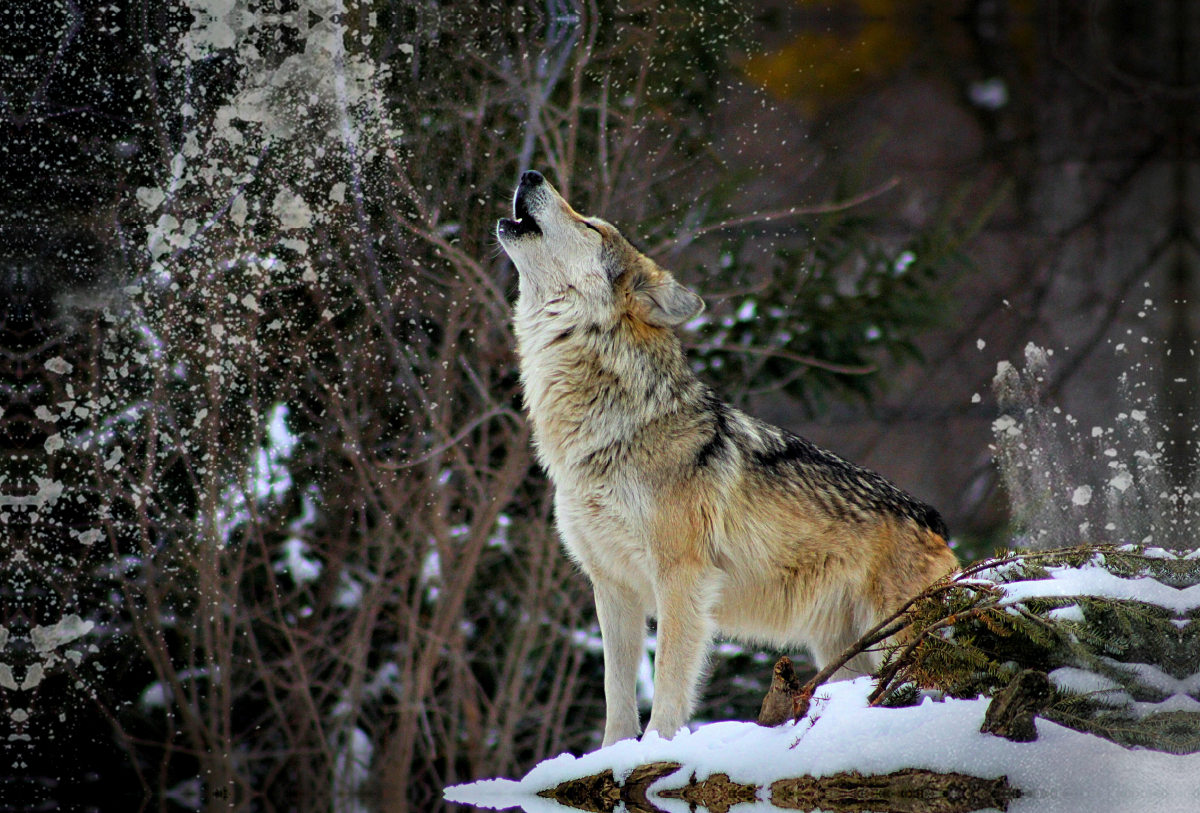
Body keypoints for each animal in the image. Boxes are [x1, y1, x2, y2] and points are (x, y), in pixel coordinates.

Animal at [494, 173, 955, 753]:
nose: (530, 175)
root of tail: (934, 522)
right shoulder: (613, 586)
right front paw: (612, 755)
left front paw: (658, 748)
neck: (607, 431)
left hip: (895, 644)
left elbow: (668, 681)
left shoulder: (682, 578)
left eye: (591, 225)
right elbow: (616, 693)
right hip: (843, 654)